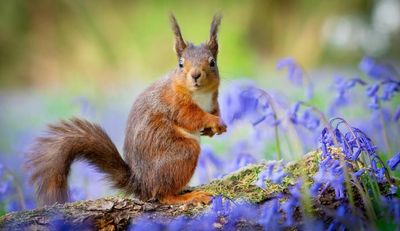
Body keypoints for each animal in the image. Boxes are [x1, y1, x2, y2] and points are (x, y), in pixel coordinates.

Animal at [26, 14, 228, 206]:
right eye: (180, 63)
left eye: (212, 62)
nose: (195, 75)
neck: (200, 94)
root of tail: (142, 184)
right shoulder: (175, 104)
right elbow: (191, 116)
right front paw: (214, 122)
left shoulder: (212, 101)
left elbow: (215, 110)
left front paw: (217, 127)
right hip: (182, 153)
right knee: (163, 195)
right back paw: (187, 197)